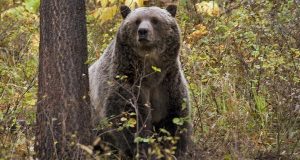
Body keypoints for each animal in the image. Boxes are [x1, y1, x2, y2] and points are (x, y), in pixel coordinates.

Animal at [89, 4, 192, 158]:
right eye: (136, 21)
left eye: (155, 20)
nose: (143, 31)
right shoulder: (127, 82)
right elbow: (130, 121)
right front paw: (141, 150)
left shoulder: (168, 85)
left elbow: (175, 121)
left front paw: (175, 151)